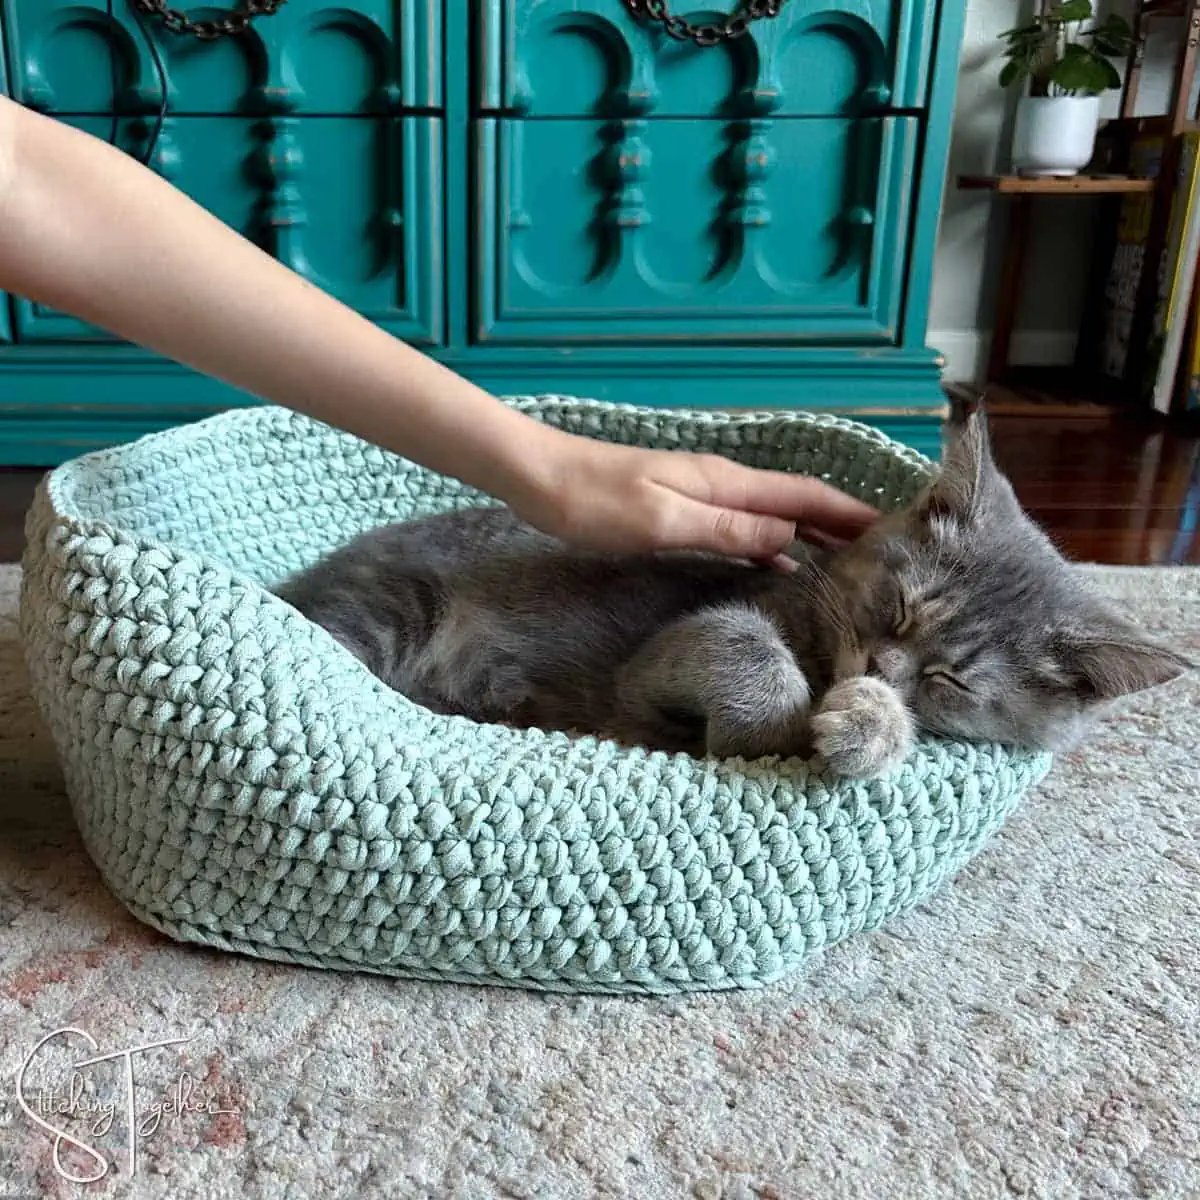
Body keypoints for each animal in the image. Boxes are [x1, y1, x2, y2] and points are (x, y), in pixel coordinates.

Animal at [278, 408, 1190, 772]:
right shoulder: (662, 655)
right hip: (385, 610)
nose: (880, 669)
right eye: (898, 607)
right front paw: (783, 723)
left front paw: (871, 723)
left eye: (952, 679)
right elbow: (741, 643)